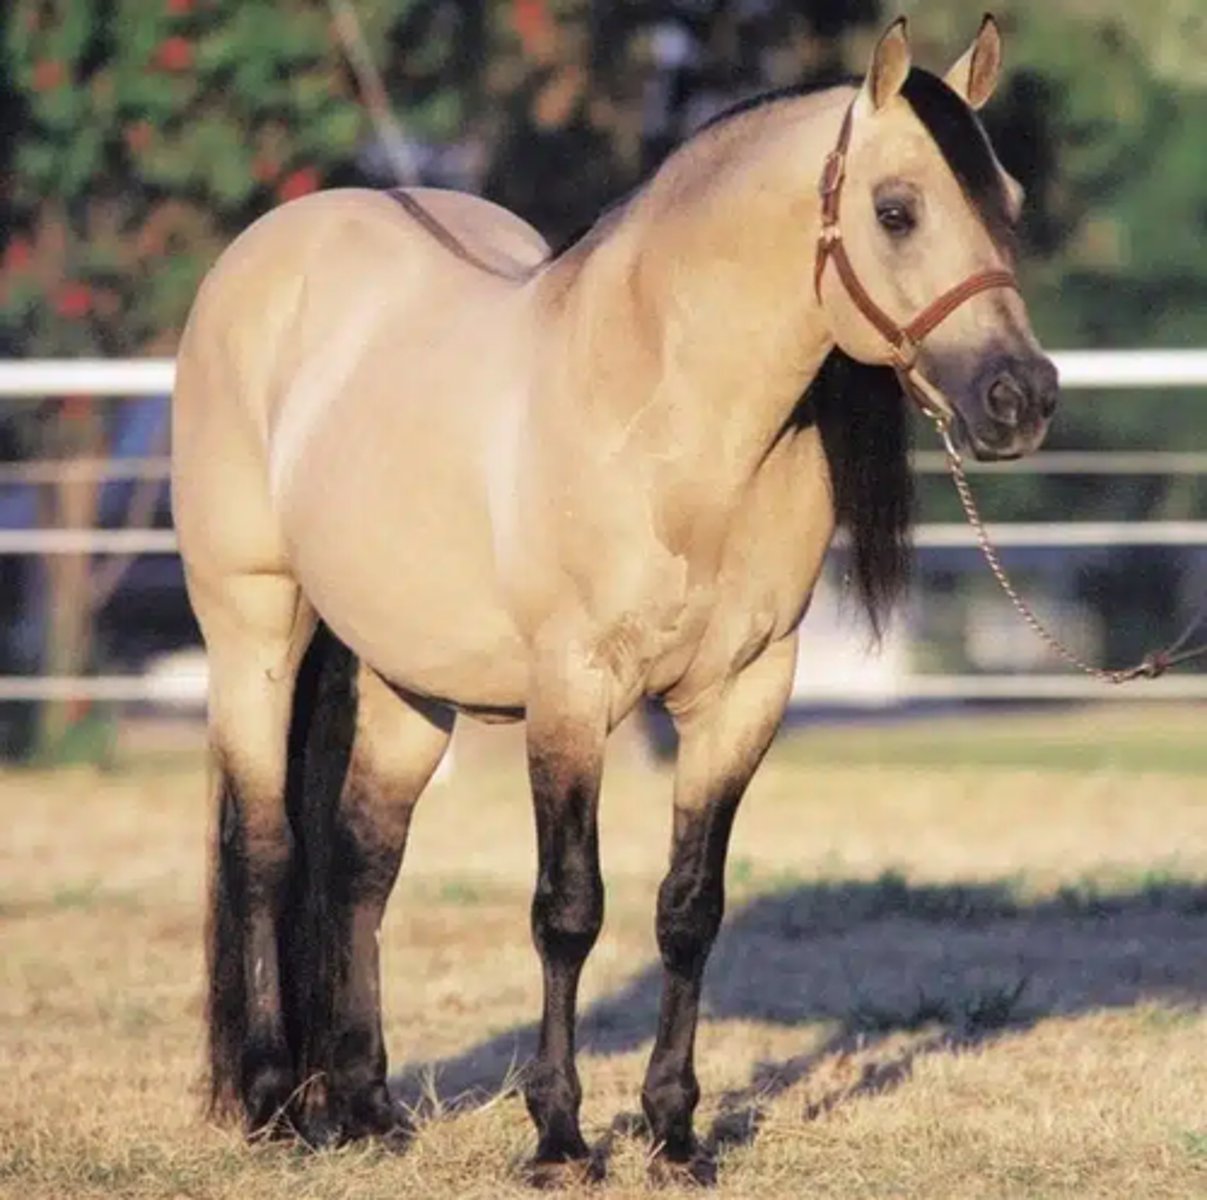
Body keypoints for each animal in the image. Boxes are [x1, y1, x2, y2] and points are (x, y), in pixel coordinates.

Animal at [171, 13, 1058, 1184]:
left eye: (1007, 204)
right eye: (896, 209)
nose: (1021, 398)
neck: (665, 416)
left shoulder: (742, 696)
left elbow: (689, 908)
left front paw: (675, 1136)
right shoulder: (571, 694)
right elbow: (568, 909)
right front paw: (558, 1140)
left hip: (409, 680)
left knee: (362, 856)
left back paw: (365, 1108)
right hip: (254, 628)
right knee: (267, 847)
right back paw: (274, 1106)